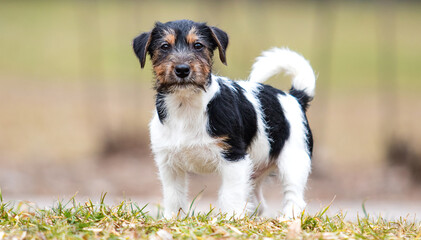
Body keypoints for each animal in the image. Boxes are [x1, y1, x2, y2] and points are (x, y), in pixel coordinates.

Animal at [133, 20, 314, 219]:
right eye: (164, 46)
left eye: (198, 45)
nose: (182, 70)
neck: (186, 104)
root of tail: (295, 97)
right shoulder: (169, 165)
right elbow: (174, 196)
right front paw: (172, 219)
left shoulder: (234, 158)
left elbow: (230, 195)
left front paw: (231, 219)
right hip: (255, 170)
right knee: (258, 202)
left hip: (294, 161)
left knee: (293, 196)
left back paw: (289, 218)